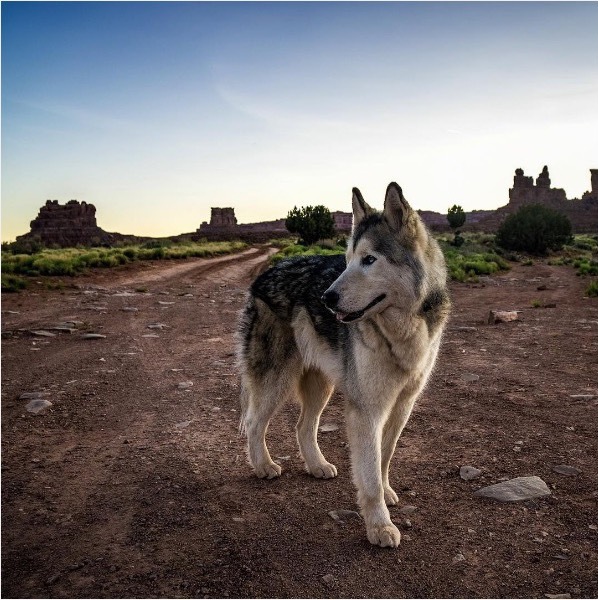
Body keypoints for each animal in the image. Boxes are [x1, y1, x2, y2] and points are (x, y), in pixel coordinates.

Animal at [239, 183, 450, 548]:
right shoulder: (367, 410)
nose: (326, 298)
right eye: (348, 260)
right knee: (254, 423)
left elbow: (384, 458)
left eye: (369, 260)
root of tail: (263, 274)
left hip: (320, 385)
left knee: (303, 427)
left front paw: (387, 495)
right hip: (277, 381)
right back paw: (264, 466)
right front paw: (380, 526)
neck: (401, 331)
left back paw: (317, 465)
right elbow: (369, 474)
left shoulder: (402, 405)